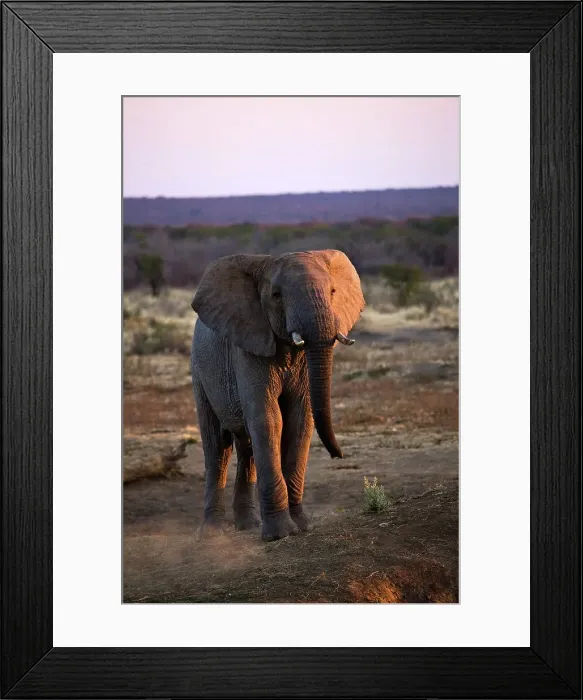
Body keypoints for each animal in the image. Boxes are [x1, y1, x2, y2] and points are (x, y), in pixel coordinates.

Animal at [190, 249, 365, 541]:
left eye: (332, 291)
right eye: (276, 295)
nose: (338, 455)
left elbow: (300, 420)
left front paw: (302, 527)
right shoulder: (248, 345)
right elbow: (269, 419)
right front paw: (280, 534)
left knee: (247, 448)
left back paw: (248, 526)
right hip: (199, 371)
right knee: (217, 447)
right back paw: (212, 533)